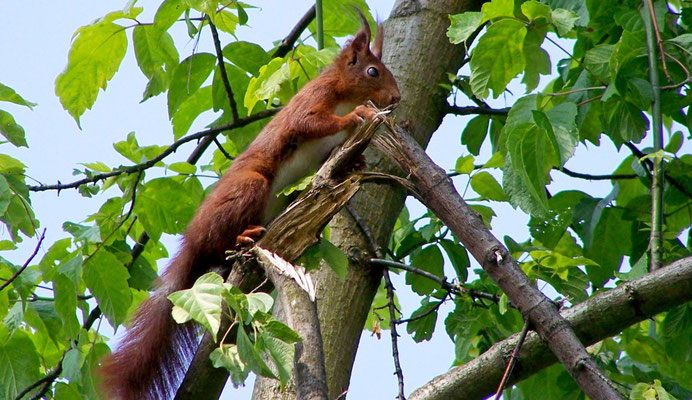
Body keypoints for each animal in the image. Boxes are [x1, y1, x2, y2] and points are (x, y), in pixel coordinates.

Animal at [99, 12, 400, 400]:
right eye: (372, 71)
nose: (396, 97)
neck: (343, 94)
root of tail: (192, 244)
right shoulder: (311, 101)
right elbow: (310, 121)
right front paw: (358, 114)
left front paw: (358, 162)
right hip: (250, 187)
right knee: (221, 240)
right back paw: (244, 237)